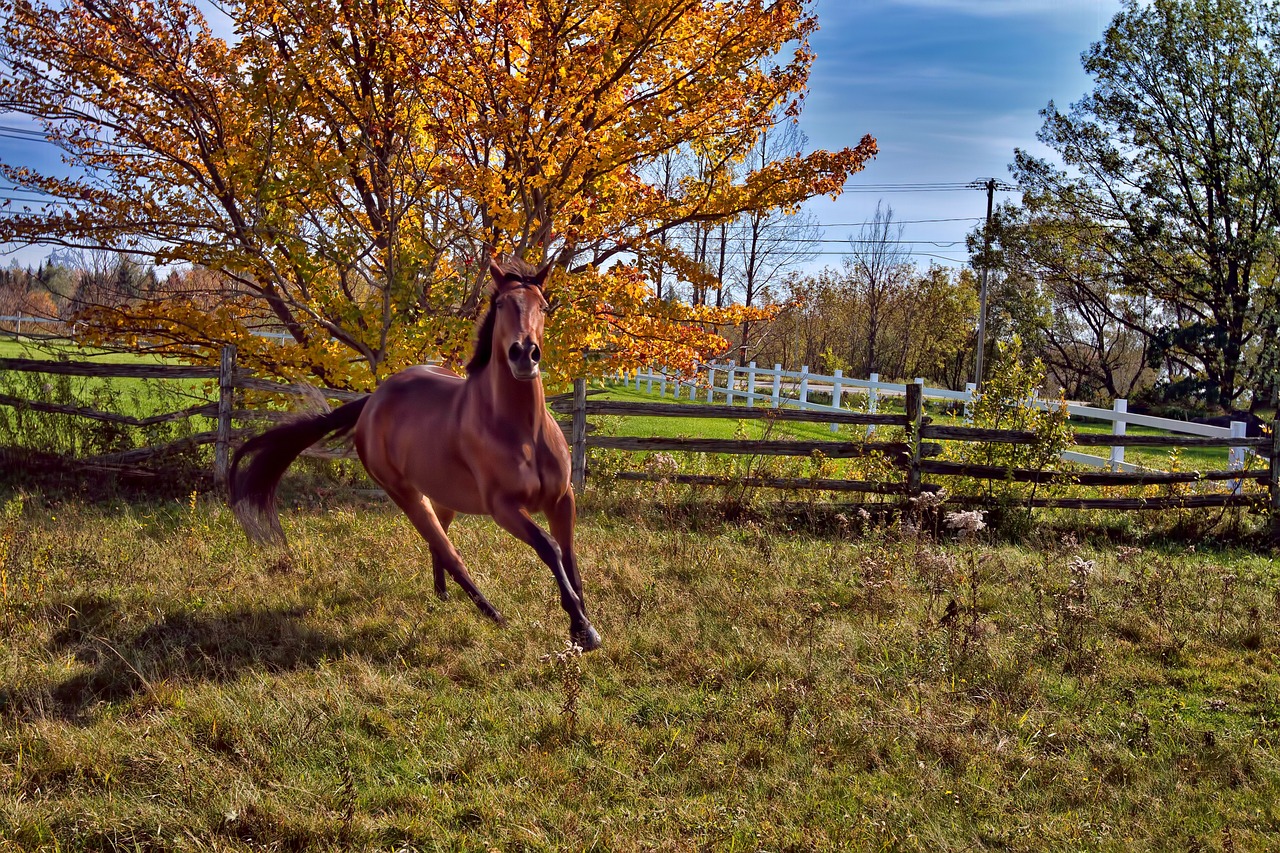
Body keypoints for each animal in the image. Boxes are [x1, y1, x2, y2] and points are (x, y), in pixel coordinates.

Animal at [227, 256, 601, 648]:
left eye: (542, 306)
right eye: (500, 304)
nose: (524, 356)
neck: (522, 430)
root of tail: (373, 401)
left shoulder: (562, 499)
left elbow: (570, 558)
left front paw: (583, 623)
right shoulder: (504, 508)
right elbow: (550, 547)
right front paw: (582, 629)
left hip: (442, 495)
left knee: (441, 546)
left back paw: (443, 598)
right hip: (405, 494)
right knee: (450, 554)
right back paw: (494, 615)